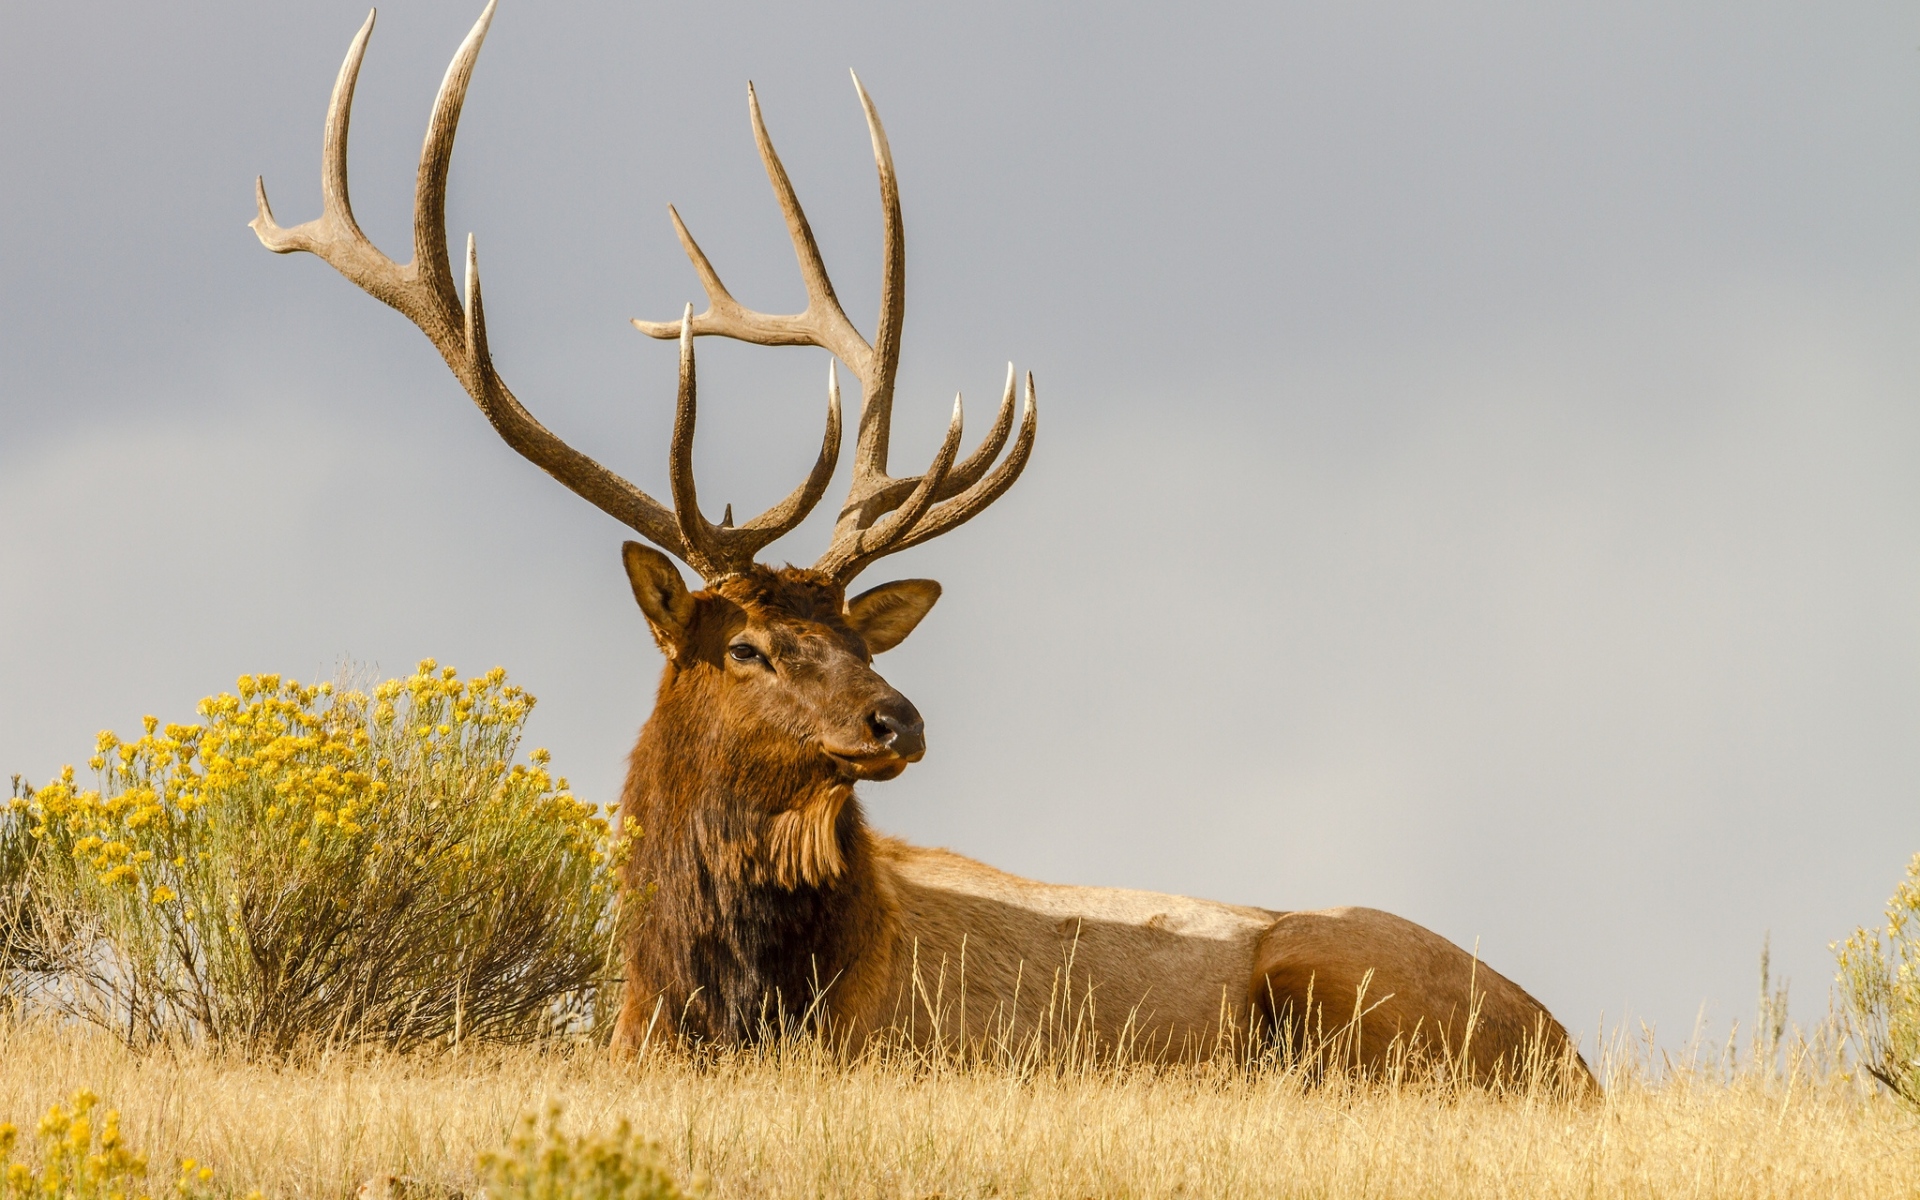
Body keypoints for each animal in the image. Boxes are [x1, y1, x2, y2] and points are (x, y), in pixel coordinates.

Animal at [253, 2, 1591, 1086]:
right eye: (745, 646)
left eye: (859, 634)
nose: (897, 720)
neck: (717, 1001)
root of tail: (1572, 1052)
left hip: (1337, 973)